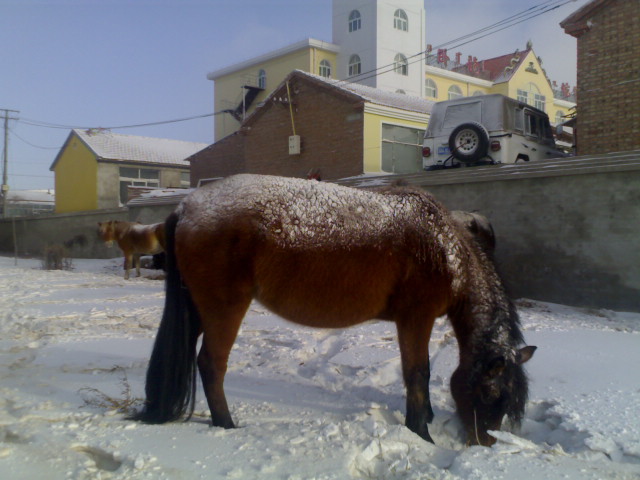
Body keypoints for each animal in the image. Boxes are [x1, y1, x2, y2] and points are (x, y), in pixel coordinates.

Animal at [130, 175, 536, 446]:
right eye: (491, 394)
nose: (485, 442)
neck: (444, 247)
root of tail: (187, 207)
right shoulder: (415, 320)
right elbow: (417, 374)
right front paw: (420, 432)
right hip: (224, 309)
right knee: (211, 364)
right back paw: (226, 425)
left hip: (197, 310)